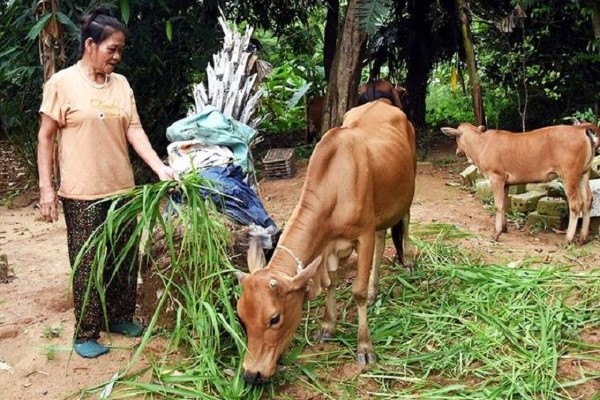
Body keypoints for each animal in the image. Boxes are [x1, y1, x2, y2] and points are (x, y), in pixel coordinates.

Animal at [236, 100, 418, 384]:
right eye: (241, 318)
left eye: (275, 318)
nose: (251, 374)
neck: (334, 187)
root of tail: (385, 102)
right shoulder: (327, 248)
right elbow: (331, 283)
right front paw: (328, 325)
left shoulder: (363, 236)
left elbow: (357, 292)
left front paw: (365, 347)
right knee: (382, 236)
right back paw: (376, 289)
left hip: (407, 189)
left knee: (405, 221)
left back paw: (407, 261)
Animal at [440, 122, 600, 244]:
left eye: (456, 137)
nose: (457, 151)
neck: (481, 144)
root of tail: (578, 129)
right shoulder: (505, 182)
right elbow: (504, 204)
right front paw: (504, 227)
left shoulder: (496, 177)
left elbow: (498, 205)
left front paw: (496, 232)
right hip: (583, 174)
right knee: (588, 200)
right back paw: (582, 238)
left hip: (569, 176)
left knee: (576, 204)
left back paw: (568, 238)